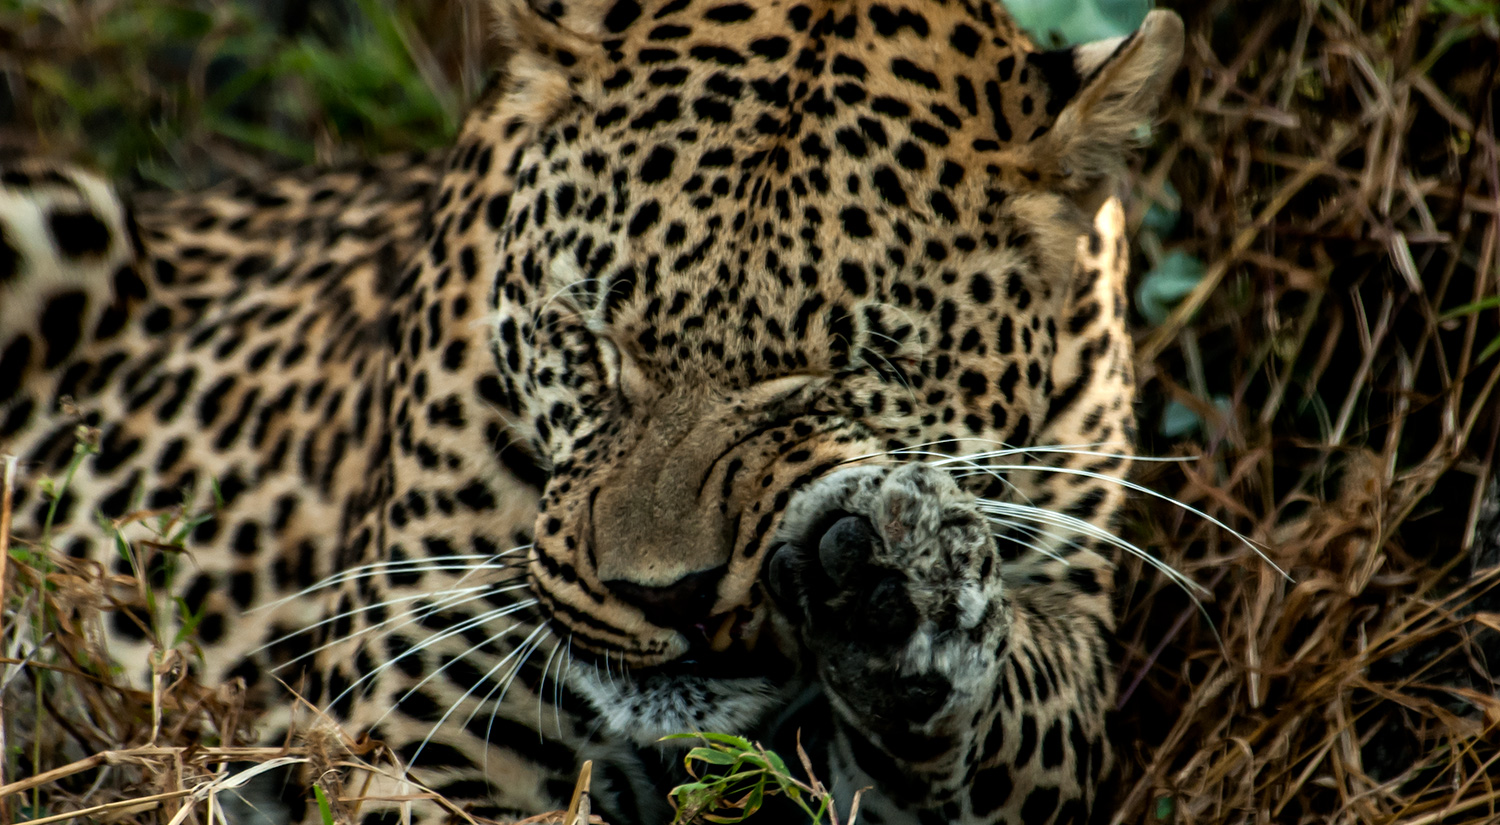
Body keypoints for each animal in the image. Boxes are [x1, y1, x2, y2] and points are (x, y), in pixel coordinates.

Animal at [0, 0, 1183, 822]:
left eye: (828, 377)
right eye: (595, 343)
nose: (663, 595)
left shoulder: (1074, 623)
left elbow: (1030, 697)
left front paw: (907, 600)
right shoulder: (421, 734)